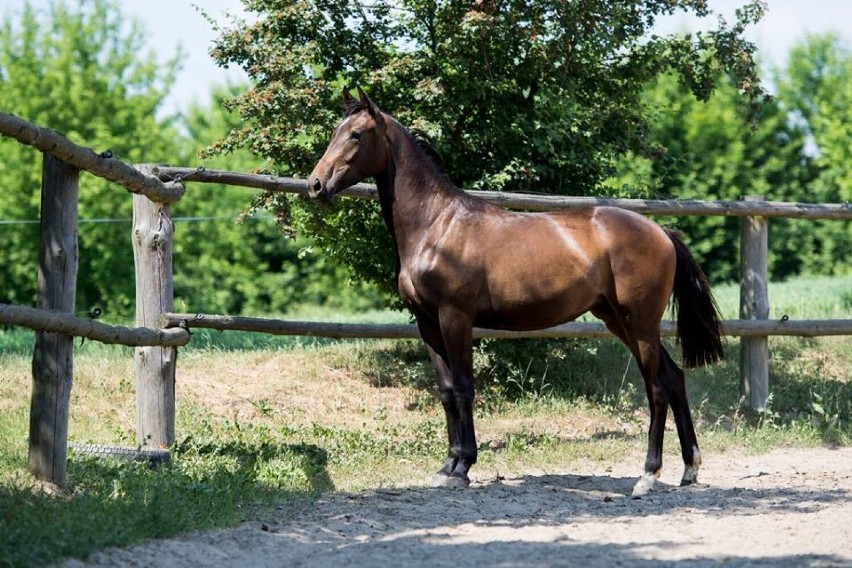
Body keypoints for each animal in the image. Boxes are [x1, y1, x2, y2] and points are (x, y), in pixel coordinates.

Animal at [306, 86, 720, 494]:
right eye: (335, 132)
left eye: (356, 134)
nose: (315, 184)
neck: (436, 225)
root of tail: (660, 232)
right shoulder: (427, 322)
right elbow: (445, 391)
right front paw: (446, 467)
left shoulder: (455, 317)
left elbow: (463, 388)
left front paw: (463, 467)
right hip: (619, 321)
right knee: (674, 378)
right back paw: (689, 469)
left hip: (641, 323)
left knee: (657, 387)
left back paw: (647, 476)